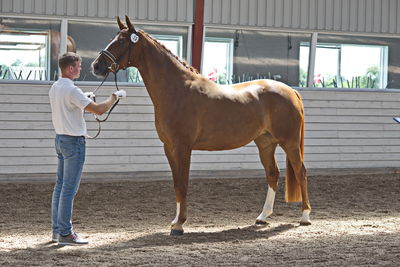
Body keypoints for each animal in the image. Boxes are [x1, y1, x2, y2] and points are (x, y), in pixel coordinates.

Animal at [92, 15, 310, 236]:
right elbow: (176, 184)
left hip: (289, 142)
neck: (177, 90)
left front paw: (179, 224)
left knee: (300, 171)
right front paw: (175, 221)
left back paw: (305, 217)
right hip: (265, 143)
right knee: (273, 174)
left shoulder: (183, 147)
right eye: (113, 38)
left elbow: (183, 184)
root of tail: (291, 92)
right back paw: (262, 217)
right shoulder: (169, 147)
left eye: (121, 41)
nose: (96, 66)